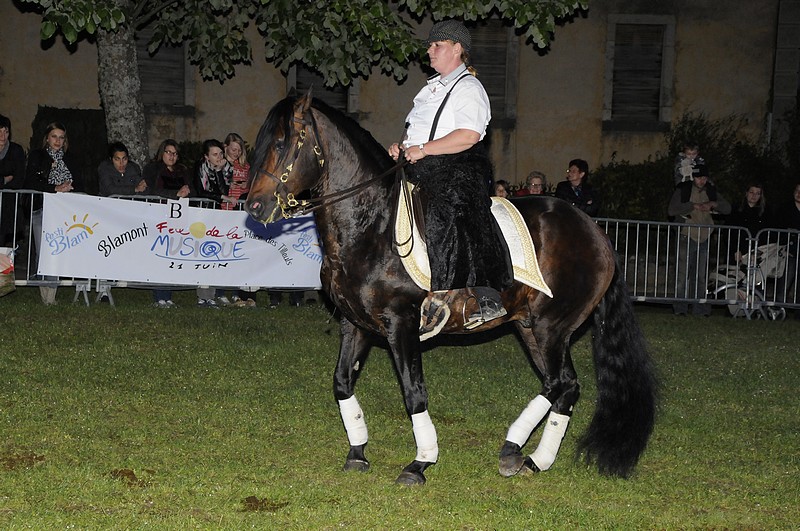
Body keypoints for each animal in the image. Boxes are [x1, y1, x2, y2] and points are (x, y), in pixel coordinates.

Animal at [246, 92, 657, 485]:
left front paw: (420, 462)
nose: (254, 207)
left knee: (560, 384)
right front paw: (358, 452)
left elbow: (413, 393)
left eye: (281, 142)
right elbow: (342, 384)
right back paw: (523, 455)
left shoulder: (401, 323)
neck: (372, 225)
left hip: (551, 327)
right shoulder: (355, 324)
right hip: (530, 328)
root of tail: (595, 231)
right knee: (563, 386)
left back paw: (524, 454)